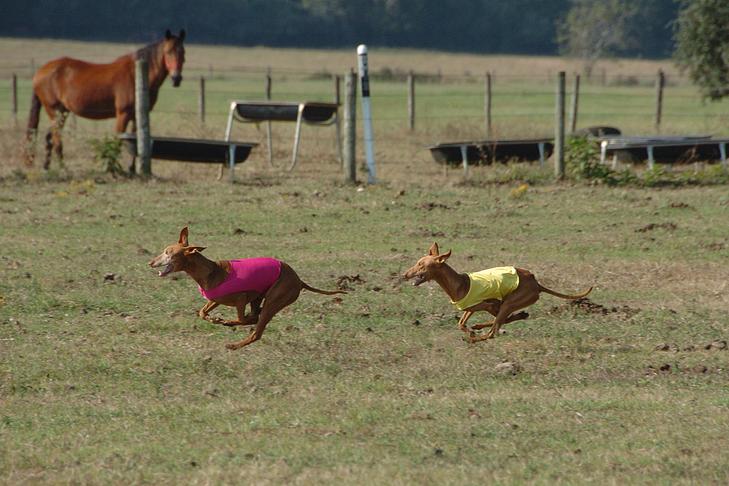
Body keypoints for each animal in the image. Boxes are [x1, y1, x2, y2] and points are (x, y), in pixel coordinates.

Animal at [27, 29, 188, 171]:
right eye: (168, 52)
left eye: (183, 52)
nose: (176, 78)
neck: (135, 75)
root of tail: (40, 72)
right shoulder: (122, 114)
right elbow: (117, 140)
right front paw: (111, 166)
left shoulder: (136, 116)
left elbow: (135, 142)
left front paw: (131, 169)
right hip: (55, 111)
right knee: (56, 138)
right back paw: (63, 168)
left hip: (62, 112)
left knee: (49, 138)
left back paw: (47, 167)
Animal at [149, 228, 346, 350]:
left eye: (167, 252)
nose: (150, 262)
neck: (211, 271)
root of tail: (299, 280)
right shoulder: (215, 299)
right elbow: (202, 312)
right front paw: (214, 319)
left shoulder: (241, 298)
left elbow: (241, 318)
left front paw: (222, 320)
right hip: (260, 298)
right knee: (255, 316)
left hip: (273, 299)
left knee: (256, 329)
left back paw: (233, 343)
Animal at [404, 243, 592, 342]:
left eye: (421, 264)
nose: (405, 274)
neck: (460, 284)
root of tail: (536, 283)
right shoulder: (470, 308)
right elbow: (461, 323)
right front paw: (471, 329)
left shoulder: (489, 304)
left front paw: (471, 334)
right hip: (506, 305)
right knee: (500, 323)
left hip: (508, 303)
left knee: (493, 332)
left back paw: (474, 338)